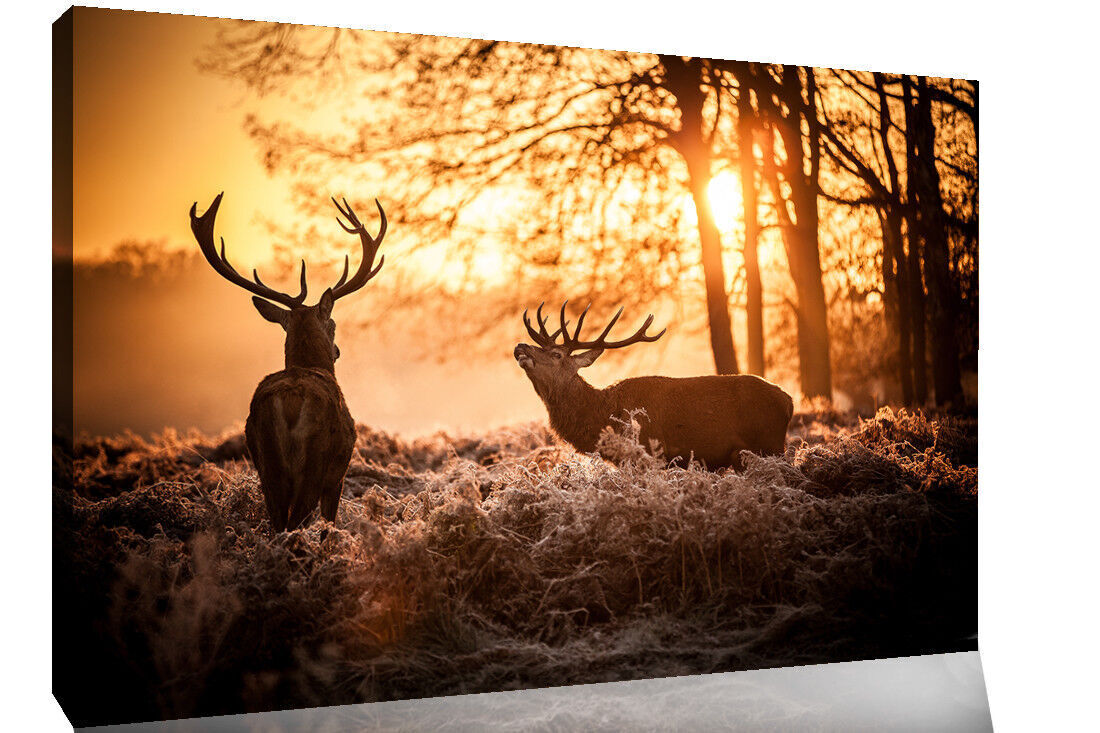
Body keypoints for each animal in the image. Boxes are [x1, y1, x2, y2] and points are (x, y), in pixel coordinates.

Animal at [189, 192, 387, 532]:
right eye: (333, 324)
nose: (337, 350)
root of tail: (291, 402)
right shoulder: (337, 476)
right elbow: (329, 526)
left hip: (266, 463)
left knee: (277, 523)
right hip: (314, 463)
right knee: (295, 523)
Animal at [514, 303, 794, 471]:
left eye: (557, 354)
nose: (521, 346)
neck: (604, 416)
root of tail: (788, 401)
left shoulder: (649, 455)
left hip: (769, 445)